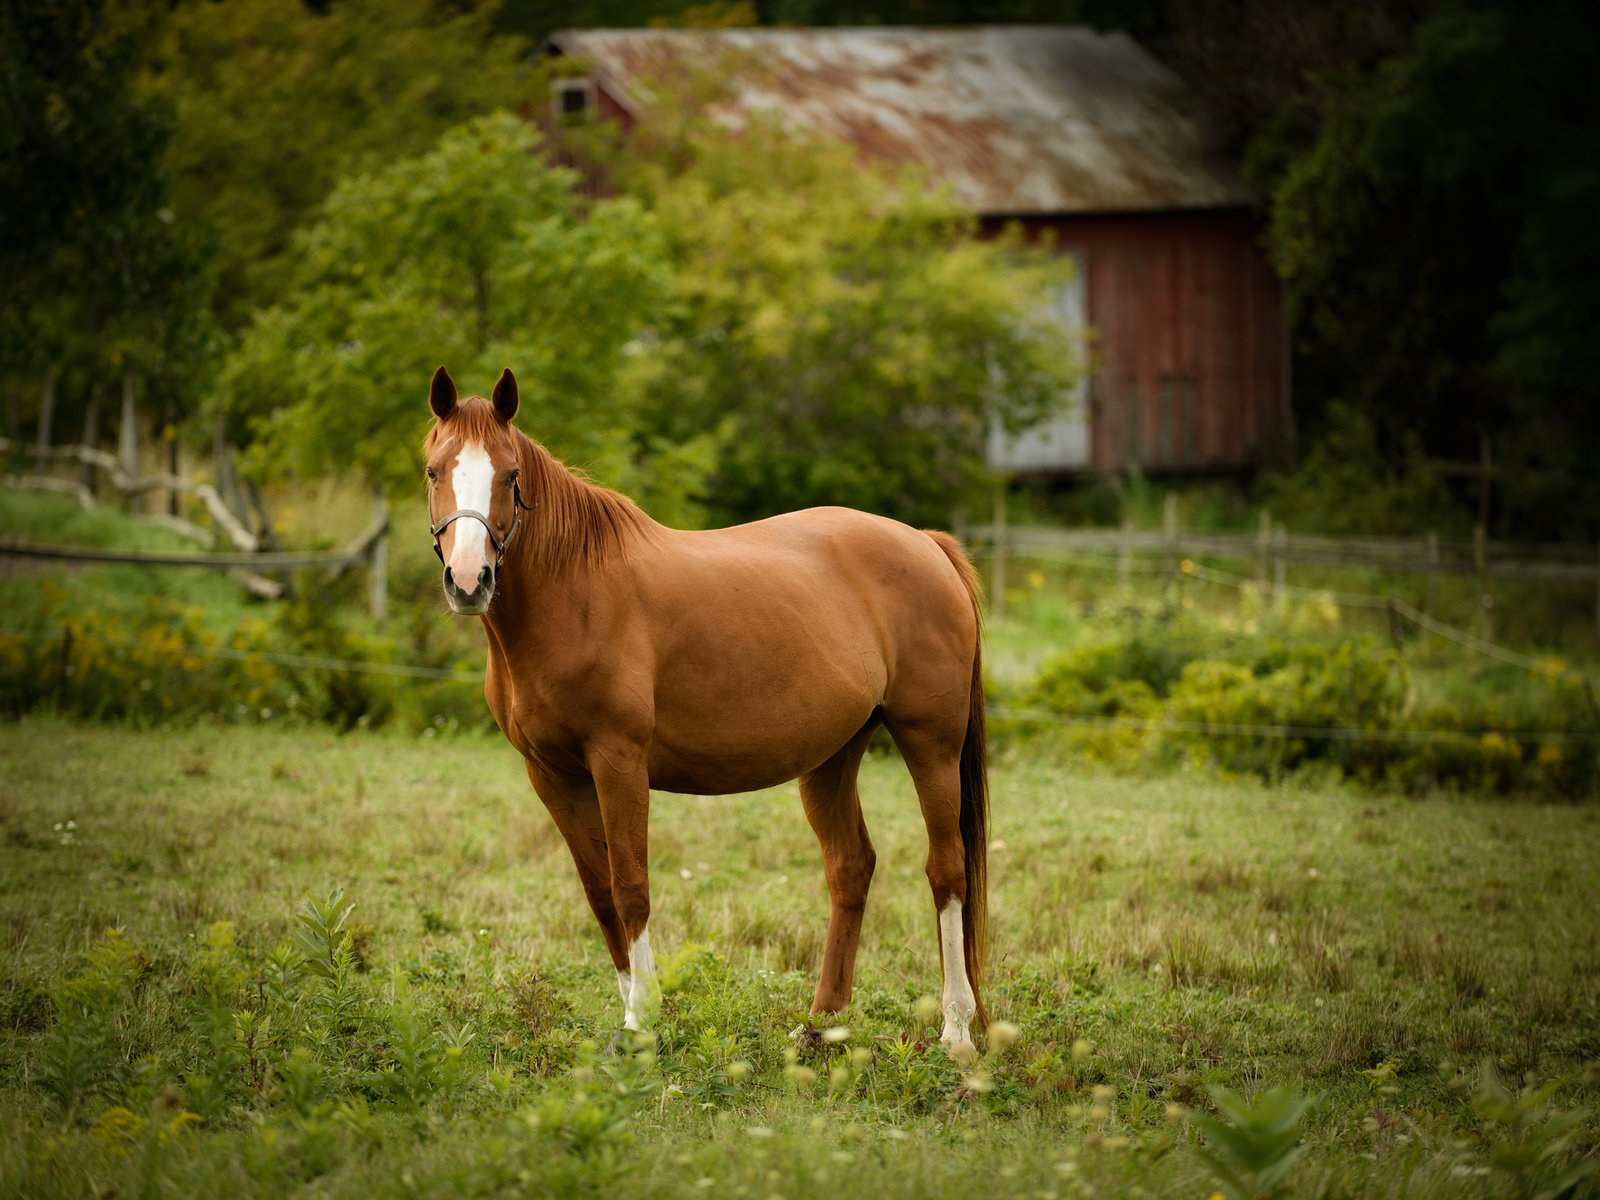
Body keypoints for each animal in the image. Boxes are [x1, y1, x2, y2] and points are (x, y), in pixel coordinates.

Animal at [422, 369, 985, 1062]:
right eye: (433, 471)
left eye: (509, 475)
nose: (468, 580)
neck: (574, 593)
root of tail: (926, 544)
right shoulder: (551, 775)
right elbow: (599, 892)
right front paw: (631, 1015)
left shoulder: (618, 762)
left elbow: (630, 886)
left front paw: (640, 1022)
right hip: (833, 756)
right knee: (851, 868)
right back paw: (820, 1027)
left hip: (930, 743)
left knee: (947, 870)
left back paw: (956, 1032)